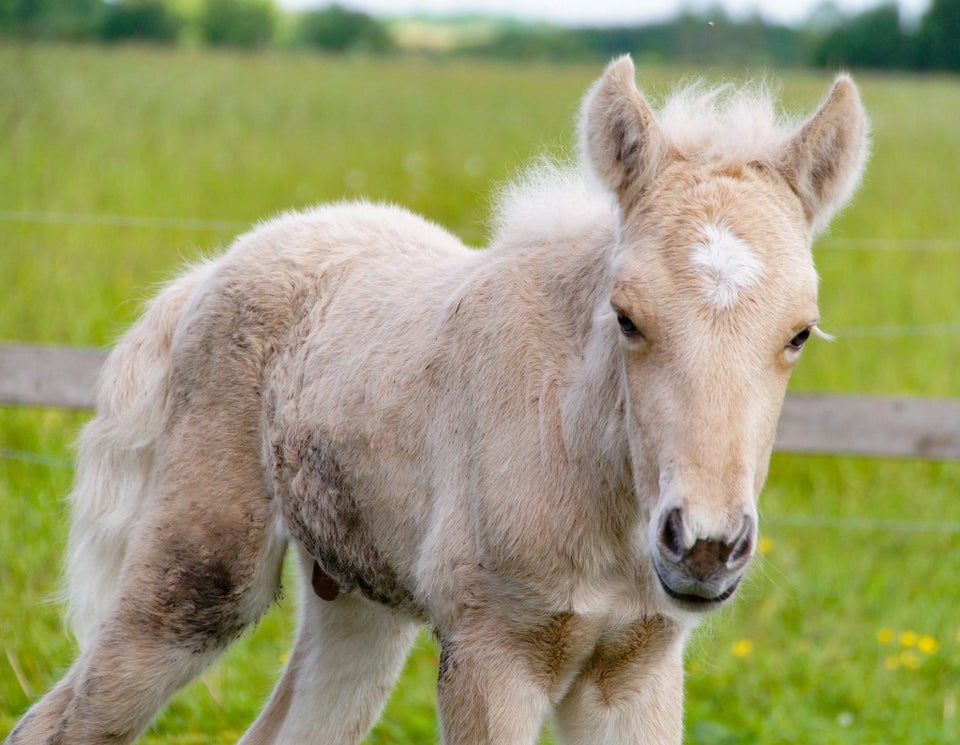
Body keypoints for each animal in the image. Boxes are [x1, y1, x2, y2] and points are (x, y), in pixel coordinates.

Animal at [7, 58, 868, 744]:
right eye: (626, 317)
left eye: (800, 332)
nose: (705, 547)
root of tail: (215, 268)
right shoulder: (491, 652)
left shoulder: (638, 665)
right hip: (197, 574)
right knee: (61, 720)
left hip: (359, 607)